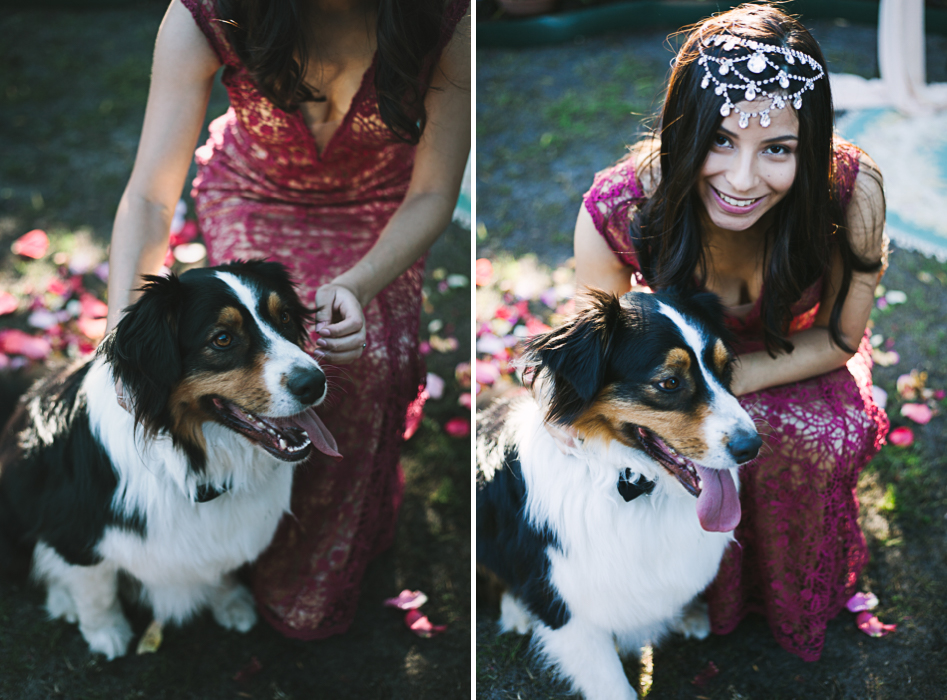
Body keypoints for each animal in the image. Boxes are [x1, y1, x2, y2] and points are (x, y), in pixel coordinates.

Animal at [0, 260, 338, 660]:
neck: (191, 459)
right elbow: (95, 588)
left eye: (284, 316)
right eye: (222, 339)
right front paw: (105, 632)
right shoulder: (75, 527)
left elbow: (221, 566)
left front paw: (231, 602)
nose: (314, 383)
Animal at [482, 290, 764, 700]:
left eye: (725, 370)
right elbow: (612, 682)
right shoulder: (568, 605)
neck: (634, 485)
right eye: (669, 382)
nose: (751, 447)